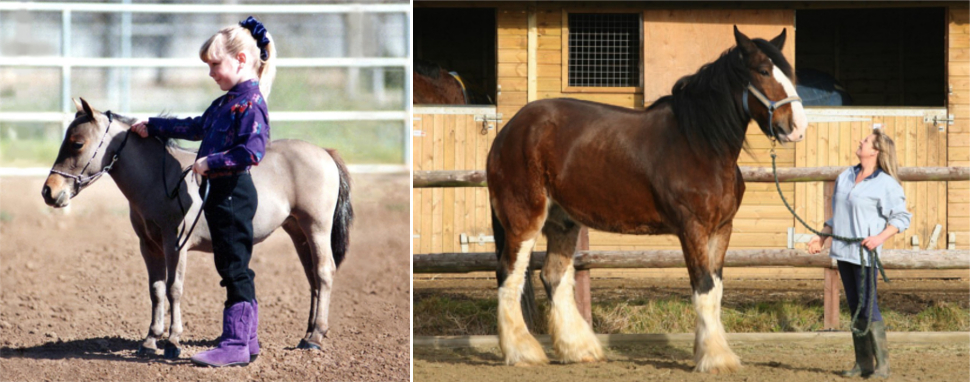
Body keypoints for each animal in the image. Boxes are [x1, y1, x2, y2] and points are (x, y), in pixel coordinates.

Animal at [42, 97, 352, 358]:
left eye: (77, 143)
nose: (49, 191)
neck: (161, 179)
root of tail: (324, 153)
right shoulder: (149, 247)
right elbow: (156, 290)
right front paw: (150, 340)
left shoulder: (175, 245)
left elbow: (173, 289)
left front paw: (173, 341)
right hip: (297, 231)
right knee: (312, 278)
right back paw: (308, 333)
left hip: (316, 228)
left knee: (324, 273)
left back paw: (315, 337)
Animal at [484, 26, 808, 374]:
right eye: (763, 71)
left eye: (789, 73)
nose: (797, 128)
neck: (700, 144)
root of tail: (509, 130)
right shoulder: (692, 228)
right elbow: (704, 288)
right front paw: (716, 358)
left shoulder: (722, 229)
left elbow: (716, 290)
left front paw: (709, 351)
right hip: (524, 219)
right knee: (509, 275)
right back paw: (522, 352)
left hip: (563, 222)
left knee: (553, 276)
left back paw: (579, 349)